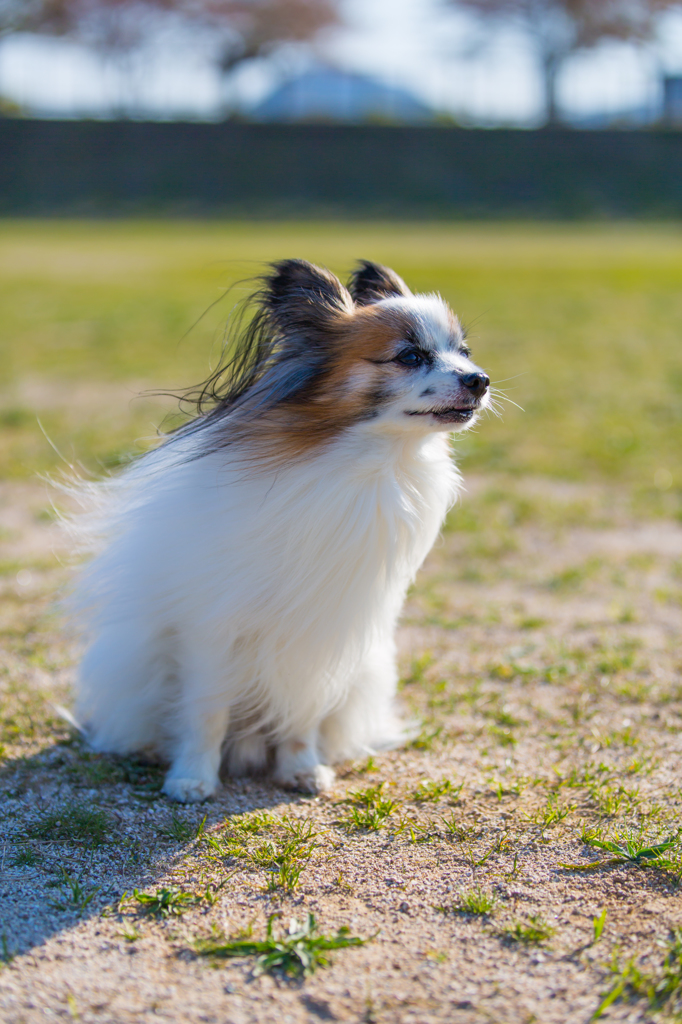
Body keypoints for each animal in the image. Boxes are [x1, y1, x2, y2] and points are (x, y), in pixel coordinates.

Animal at [71, 260, 489, 802]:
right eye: (410, 356)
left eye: (465, 353)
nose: (480, 380)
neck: (363, 463)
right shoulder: (212, 630)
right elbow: (205, 712)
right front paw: (192, 777)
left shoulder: (317, 638)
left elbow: (301, 711)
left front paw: (301, 768)